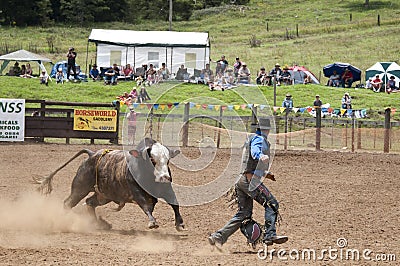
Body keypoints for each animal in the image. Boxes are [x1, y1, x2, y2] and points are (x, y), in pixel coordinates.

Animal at [34, 138, 184, 232]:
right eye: (152, 159)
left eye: (168, 160)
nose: (164, 177)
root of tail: (92, 154)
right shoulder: (136, 192)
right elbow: (146, 206)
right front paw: (152, 222)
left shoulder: (166, 189)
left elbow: (174, 203)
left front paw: (180, 223)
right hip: (79, 188)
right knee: (68, 203)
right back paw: (61, 222)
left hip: (105, 195)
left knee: (90, 202)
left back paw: (98, 223)